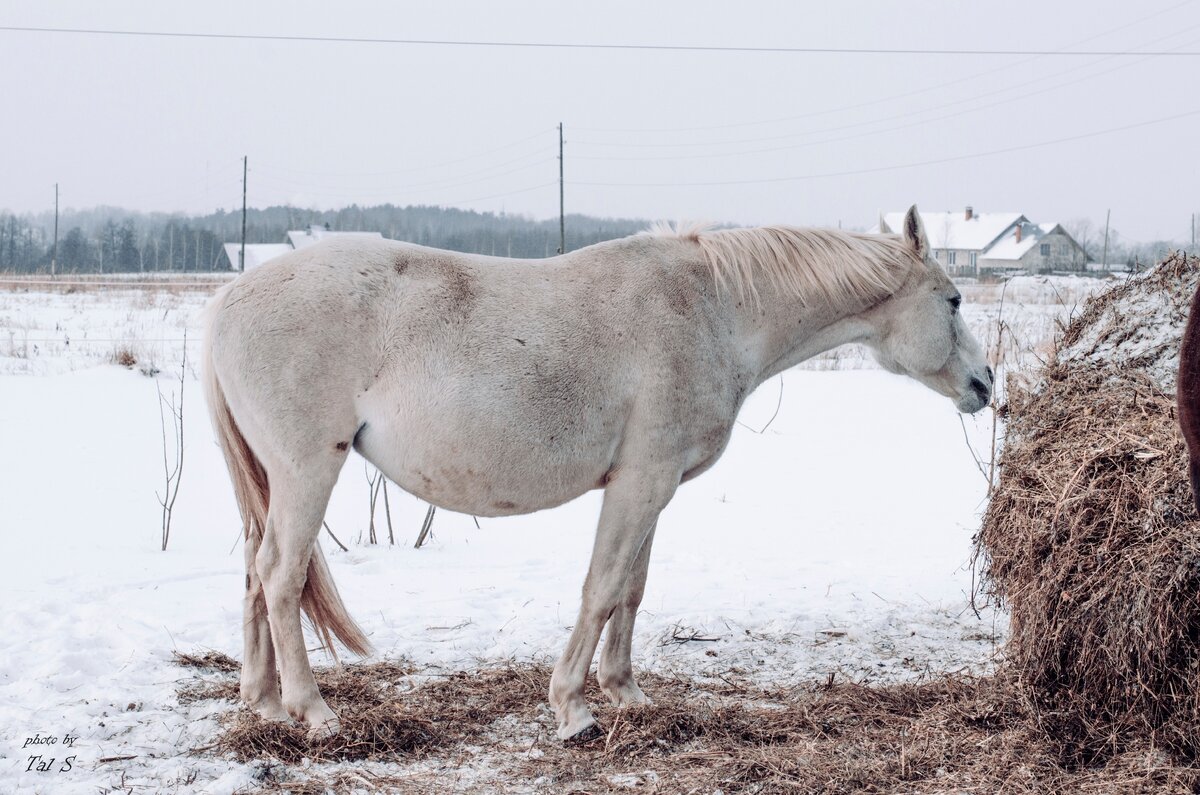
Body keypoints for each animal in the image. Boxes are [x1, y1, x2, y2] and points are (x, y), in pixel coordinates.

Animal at [204, 204, 993, 739]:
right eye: (954, 300)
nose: (985, 385)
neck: (714, 308)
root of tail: (227, 302)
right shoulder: (641, 482)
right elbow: (604, 586)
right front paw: (573, 707)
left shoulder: (651, 487)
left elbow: (632, 591)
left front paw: (626, 692)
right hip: (307, 471)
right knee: (279, 573)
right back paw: (313, 709)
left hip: (275, 482)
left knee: (251, 569)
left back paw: (263, 700)